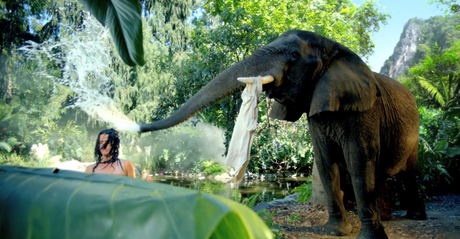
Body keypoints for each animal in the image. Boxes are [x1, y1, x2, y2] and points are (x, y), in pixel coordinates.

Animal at [138, 30, 426, 239]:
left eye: (294, 54)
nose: (137, 128)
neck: (334, 48)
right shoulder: (317, 112)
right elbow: (326, 164)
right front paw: (335, 232)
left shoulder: (364, 111)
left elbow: (358, 163)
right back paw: (387, 218)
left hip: (415, 131)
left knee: (408, 171)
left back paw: (415, 217)